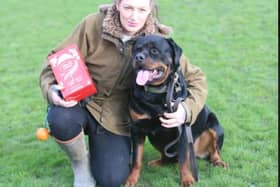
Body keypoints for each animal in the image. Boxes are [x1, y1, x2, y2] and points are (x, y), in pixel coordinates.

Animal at [124, 34, 228, 186]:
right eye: (137, 49)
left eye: (154, 51)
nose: (139, 57)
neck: (155, 92)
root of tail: (199, 153)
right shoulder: (137, 129)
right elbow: (136, 159)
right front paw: (131, 179)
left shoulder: (182, 130)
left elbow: (184, 160)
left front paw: (187, 179)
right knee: (167, 156)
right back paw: (158, 162)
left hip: (215, 124)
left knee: (214, 150)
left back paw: (218, 161)